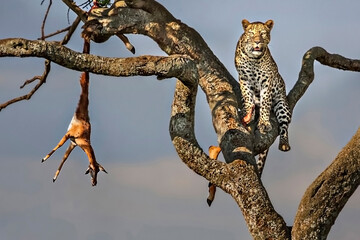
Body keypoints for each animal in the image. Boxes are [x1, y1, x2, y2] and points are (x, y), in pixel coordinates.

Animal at [235, 18, 292, 174]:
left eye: (262, 33)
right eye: (251, 33)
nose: (257, 42)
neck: (254, 60)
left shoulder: (268, 82)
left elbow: (266, 103)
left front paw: (264, 123)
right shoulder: (244, 79)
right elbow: (247, 97)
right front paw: (247, 113)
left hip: (283, 106)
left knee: (284, 126)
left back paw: (284, 144)